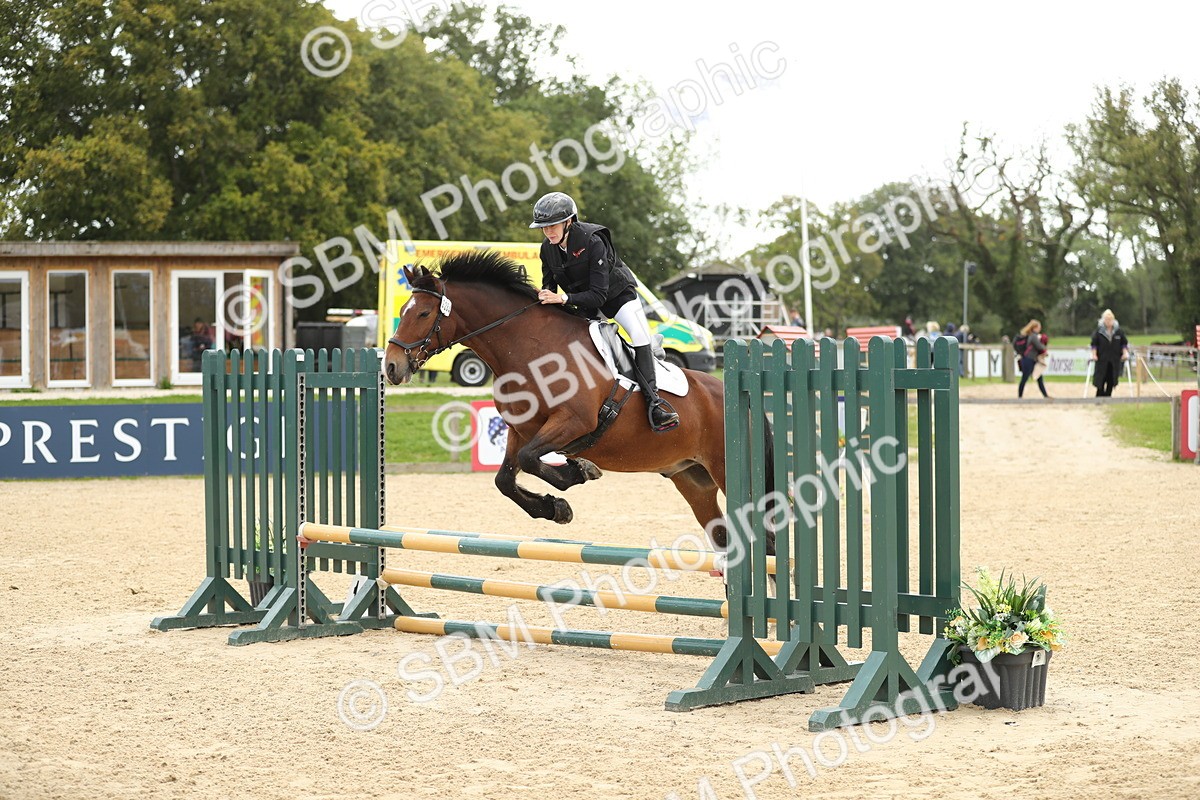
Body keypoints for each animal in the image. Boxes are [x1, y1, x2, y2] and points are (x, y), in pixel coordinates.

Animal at [382, 250, 741, 550]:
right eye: (402, 311)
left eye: (424, 313)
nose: (392, 367)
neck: (531, 349)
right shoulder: (522, 429)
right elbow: (505, 478)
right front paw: (556, 507)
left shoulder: (574, 421)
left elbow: (529, 460)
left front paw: (580, 472)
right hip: (692, 478)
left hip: (722, 469)